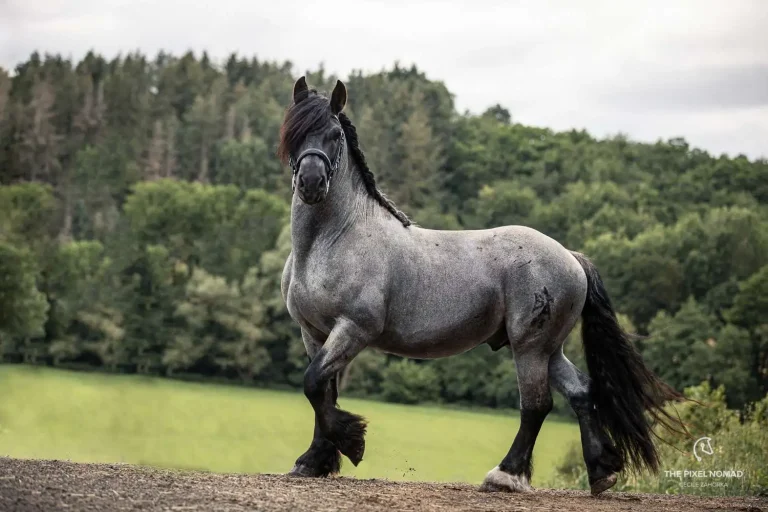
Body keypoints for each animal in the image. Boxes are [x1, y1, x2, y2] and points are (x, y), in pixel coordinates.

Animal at [278, 77, 686, 495]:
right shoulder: (314, 332)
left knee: (536, 405)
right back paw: (601, 472)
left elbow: (314, 384)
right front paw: (313, 461)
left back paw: (506, 475)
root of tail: (572, 258)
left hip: (529, 347)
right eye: (293, 132)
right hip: (549, 348)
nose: (311, 183)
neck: (335, 239)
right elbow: (323, 392)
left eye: (334, 134)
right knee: (581, 393)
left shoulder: (354, 329)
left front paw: (351, 442)